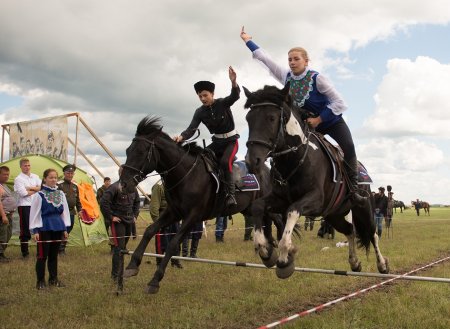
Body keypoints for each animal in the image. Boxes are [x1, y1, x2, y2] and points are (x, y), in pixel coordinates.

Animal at [119, 115, 286, 292]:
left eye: (141, 152)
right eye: (127, 151)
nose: (123, 185)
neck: (186, 174)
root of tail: (268, 171)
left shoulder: (193, 216)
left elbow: (173, 244)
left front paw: (155, 281)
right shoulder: (173, 212)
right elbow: (149, 231)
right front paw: (132, 266)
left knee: (279, 220)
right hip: (249, 209)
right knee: (270, 222)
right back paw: (270, 249)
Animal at [243, 84, 390, 276]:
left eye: (271, 118)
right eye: (248, 119)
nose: (252, 161)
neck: (296, 158)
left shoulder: (315, 199)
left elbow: (292, 211)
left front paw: (285, 256)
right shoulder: (280, 199)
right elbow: (258, 206)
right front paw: (264, 249)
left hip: (363, 207)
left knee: (372, 234)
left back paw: (382, 265)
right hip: (334, 214)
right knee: (350, 231)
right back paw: (354, 262)